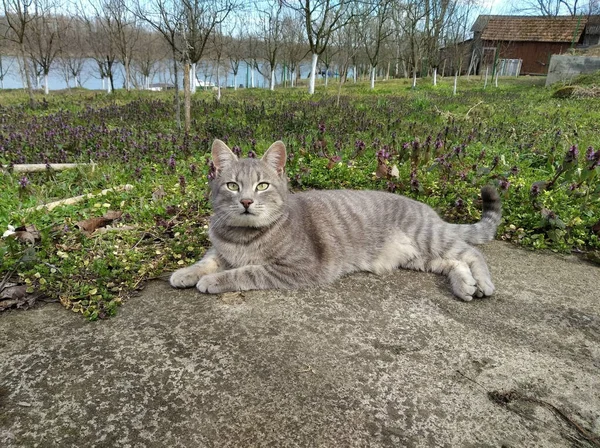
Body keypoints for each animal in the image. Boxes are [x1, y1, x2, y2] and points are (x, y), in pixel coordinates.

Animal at [170, 140, 502, 300]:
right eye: (232, 186)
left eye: (262, 186)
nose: (247, 201)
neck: (242, 236)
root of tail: (430, 210)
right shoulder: (220, 250)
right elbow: (206, 260)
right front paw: (186, 273)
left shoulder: (296, 267)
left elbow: (244, 272)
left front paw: (212, 281)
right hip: (420, 258)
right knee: (453, 262)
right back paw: (465, 285)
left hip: (428, 238)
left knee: (472, 252)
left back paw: (483, 283)